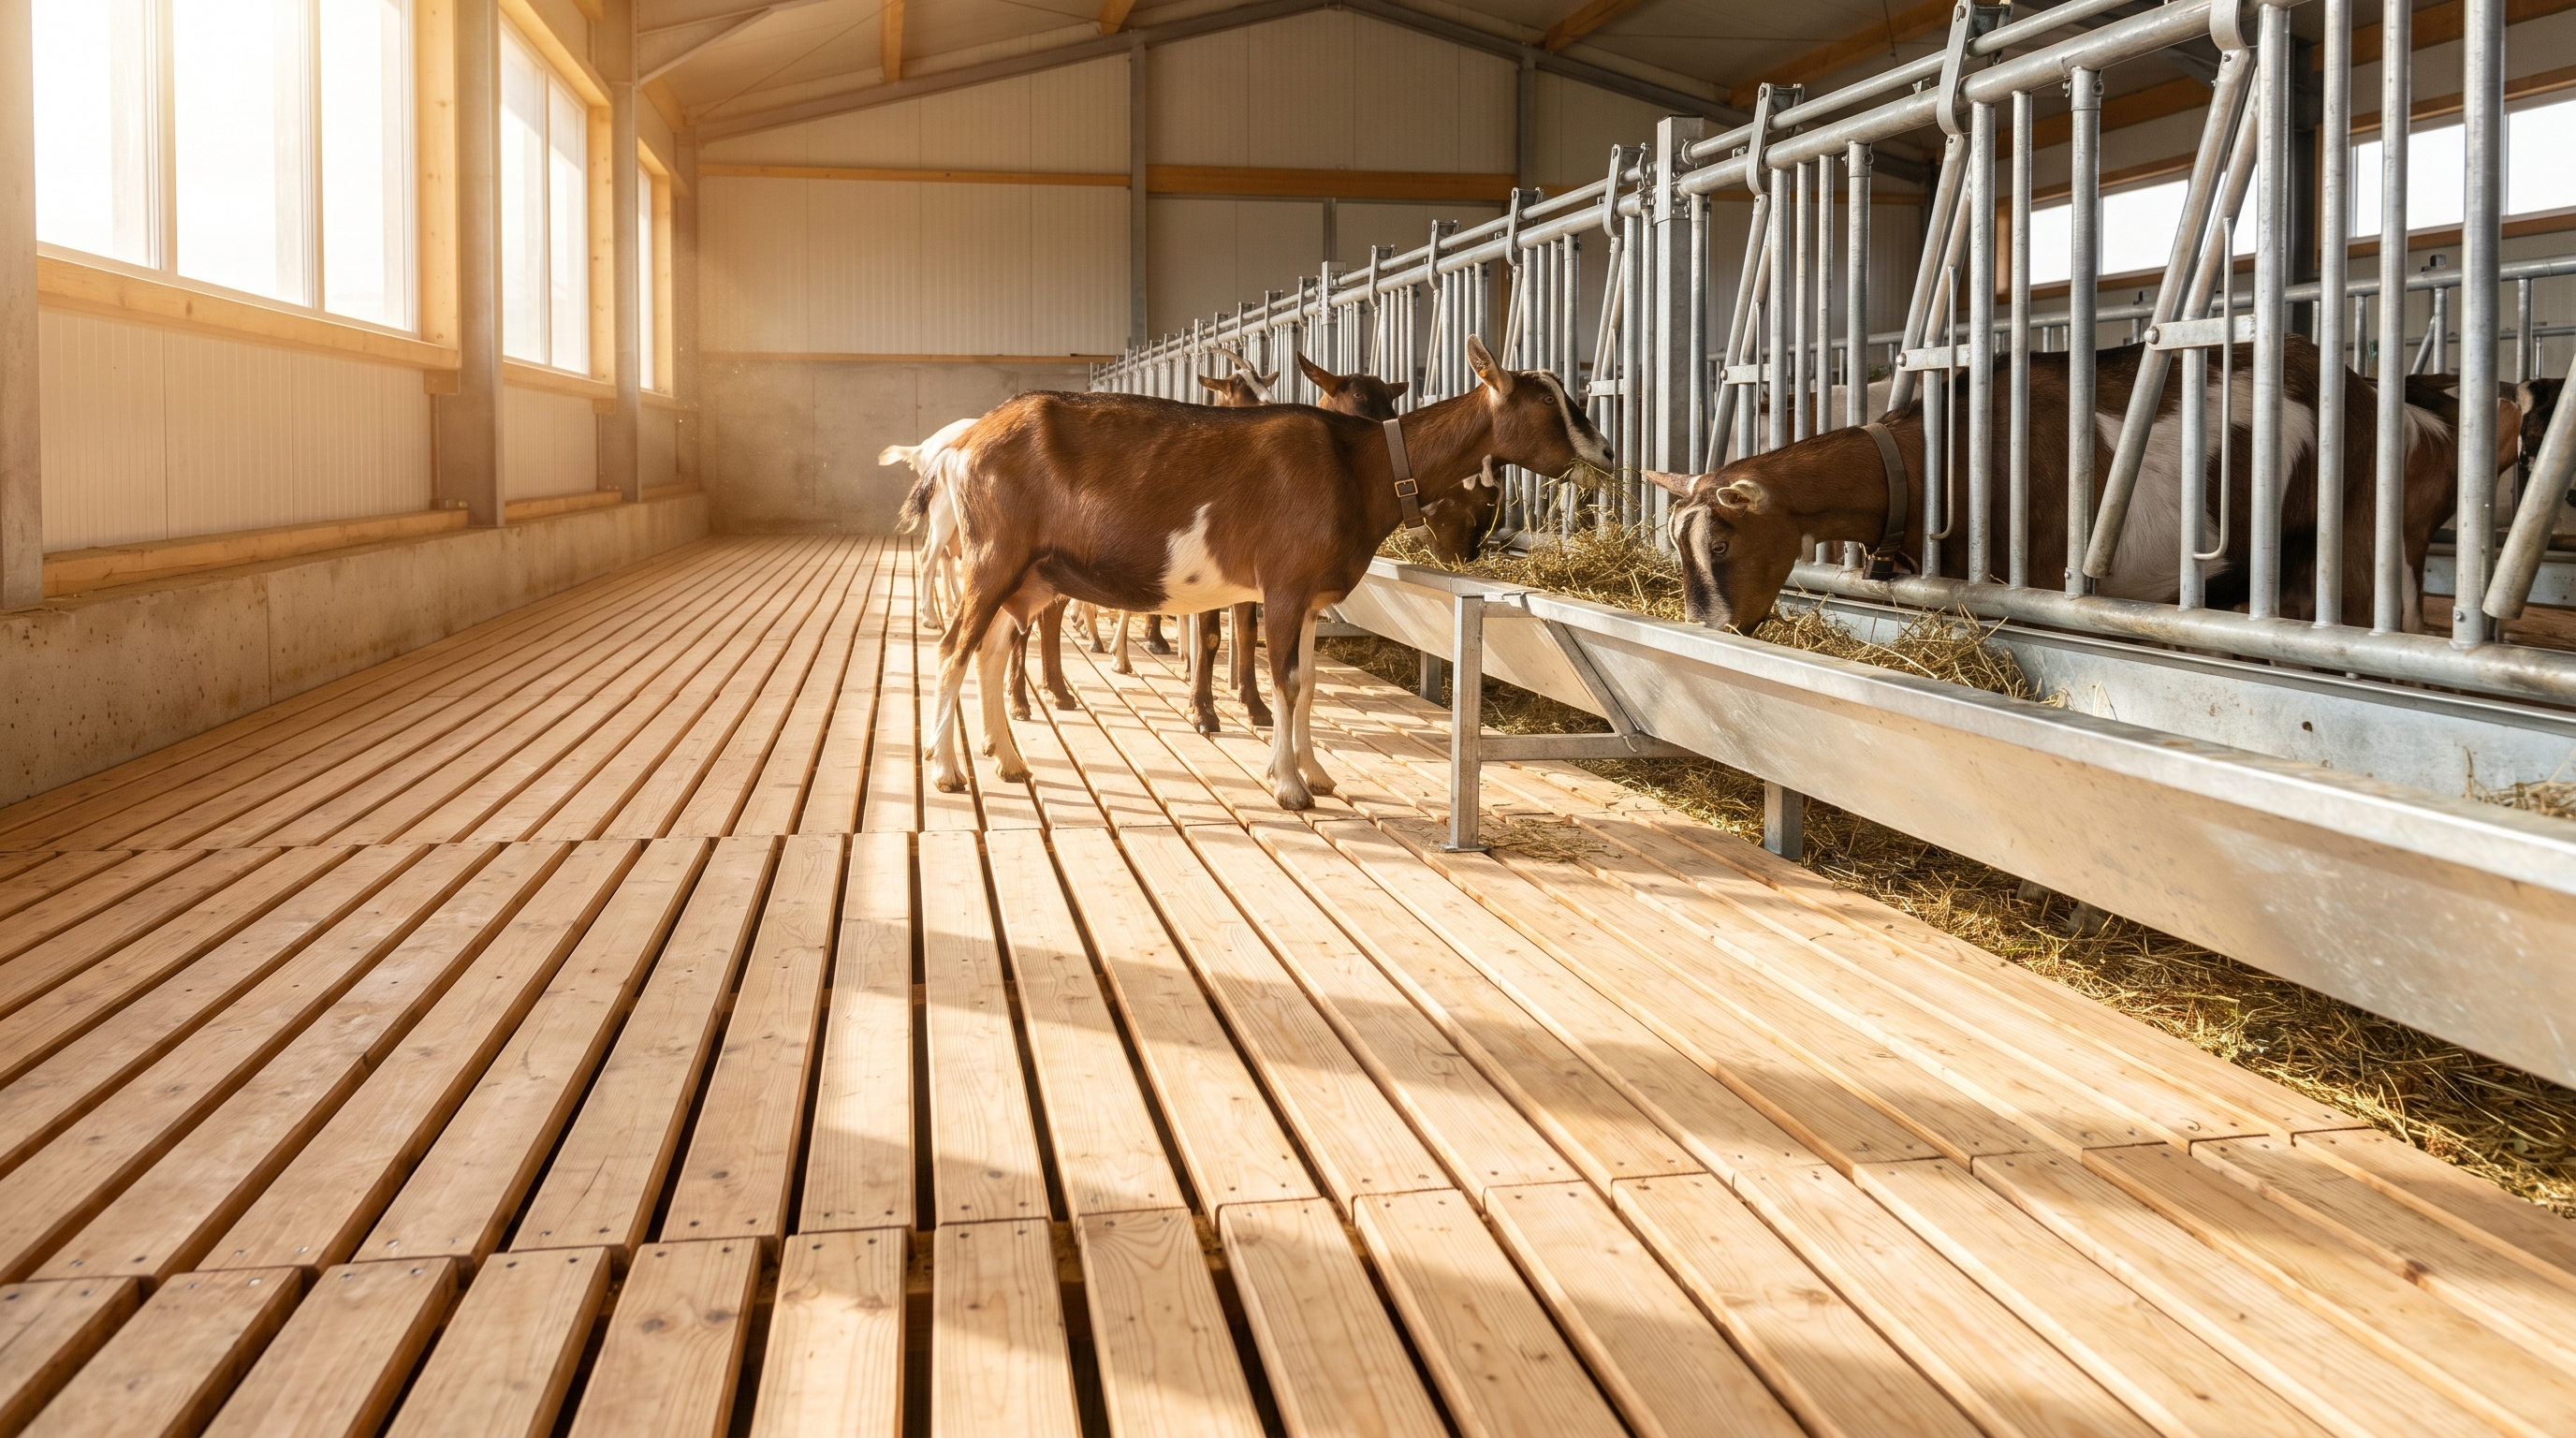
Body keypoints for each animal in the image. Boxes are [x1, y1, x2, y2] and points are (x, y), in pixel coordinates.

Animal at [927, 335, 1611, 809]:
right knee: (953, 648)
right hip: (993, 557)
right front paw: (1287, 786)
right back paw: (947, 769)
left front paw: (1317, 772)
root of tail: (963, 445)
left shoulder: (1309, 597)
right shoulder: (1283, 585)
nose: (1606, 451)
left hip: (1029, 576)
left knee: (989, 648)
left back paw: (1008, 761)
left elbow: (1306, 684)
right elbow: (1282, 681)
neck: (1362, 465)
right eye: (1547, 405)